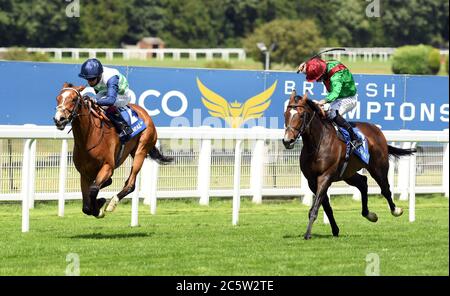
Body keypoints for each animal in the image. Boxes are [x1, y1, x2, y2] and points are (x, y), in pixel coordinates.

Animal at [52, 82, 172, 217]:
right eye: (57, 98)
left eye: (73, 99)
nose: (59, 119)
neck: (89, 138)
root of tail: (144, 112)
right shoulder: (84, 173)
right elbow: (86, 206)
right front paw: (97, 203)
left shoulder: (108, 166)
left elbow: (94, 189)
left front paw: (99, 207)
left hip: (141, 149)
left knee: (130, 184)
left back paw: (112, 203)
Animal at [284, 89, 416, 238]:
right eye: (286, 114)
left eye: (301, 115)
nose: (287, 141)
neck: (317, 143)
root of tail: (377, 130)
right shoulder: (312, 181)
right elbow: (326, 206)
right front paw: (335, 230)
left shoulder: (325, 177)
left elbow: (315, 207)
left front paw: (307, 234)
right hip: (348, 173)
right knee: (363, 182)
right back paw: (369, 214)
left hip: (378, 167)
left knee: (385, 189)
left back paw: (395, 210)